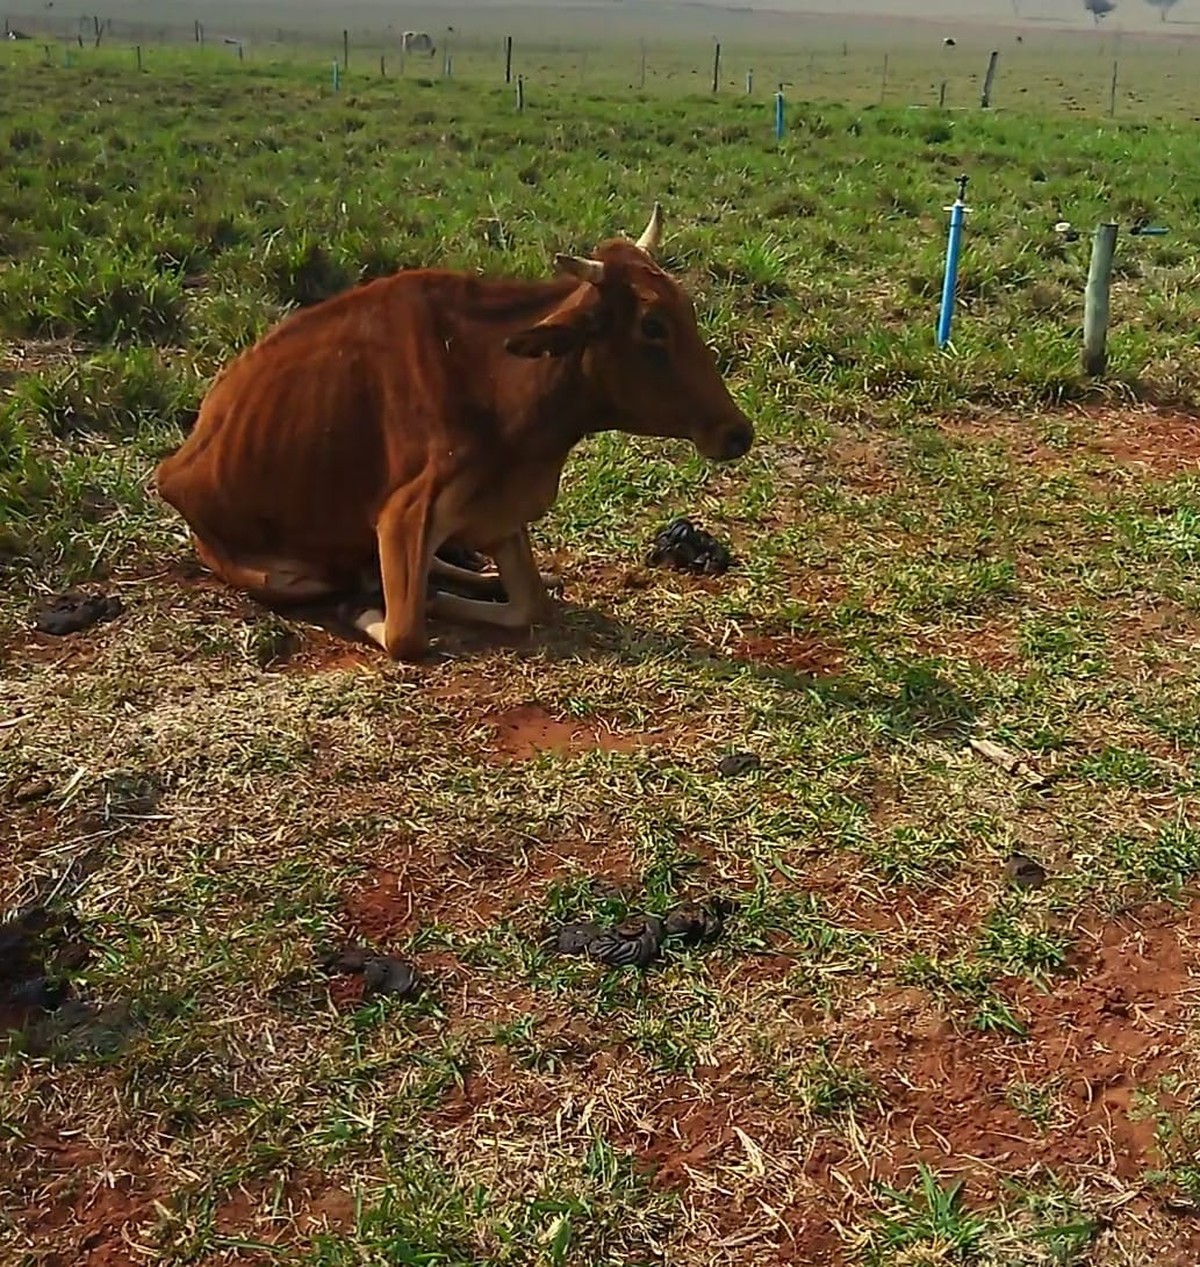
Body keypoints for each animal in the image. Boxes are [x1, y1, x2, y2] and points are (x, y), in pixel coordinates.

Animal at [150, 202, 750, 658]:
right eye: (652, 326)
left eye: (687, 310)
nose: (738, 432)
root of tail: (176, 465)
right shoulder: (402, 515)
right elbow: (406, 634)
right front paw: (381, 608)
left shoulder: (498, 511)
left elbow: (530, 604)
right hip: (276, 574)